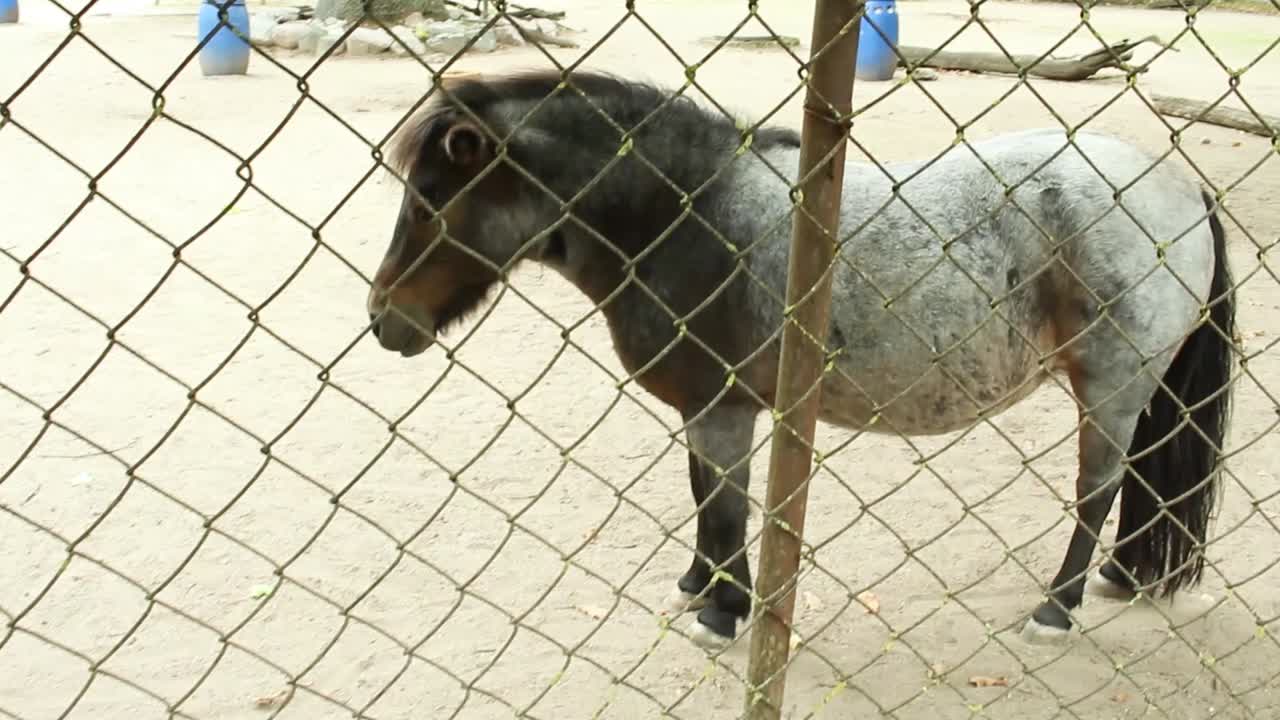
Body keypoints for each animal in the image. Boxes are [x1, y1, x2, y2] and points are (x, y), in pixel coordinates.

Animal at [365, 70, 1236, 650]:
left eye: (431, 197)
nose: (382, 320)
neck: (689, 217)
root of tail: (1180, 188)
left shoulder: (722, 410)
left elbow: (724, 507)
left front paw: (723, 610)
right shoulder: (707, 411)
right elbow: (702, 498)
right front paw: (699, 584)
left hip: (1112, 386)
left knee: (1098, 491)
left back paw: (1057, 607)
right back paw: (1122, 576)